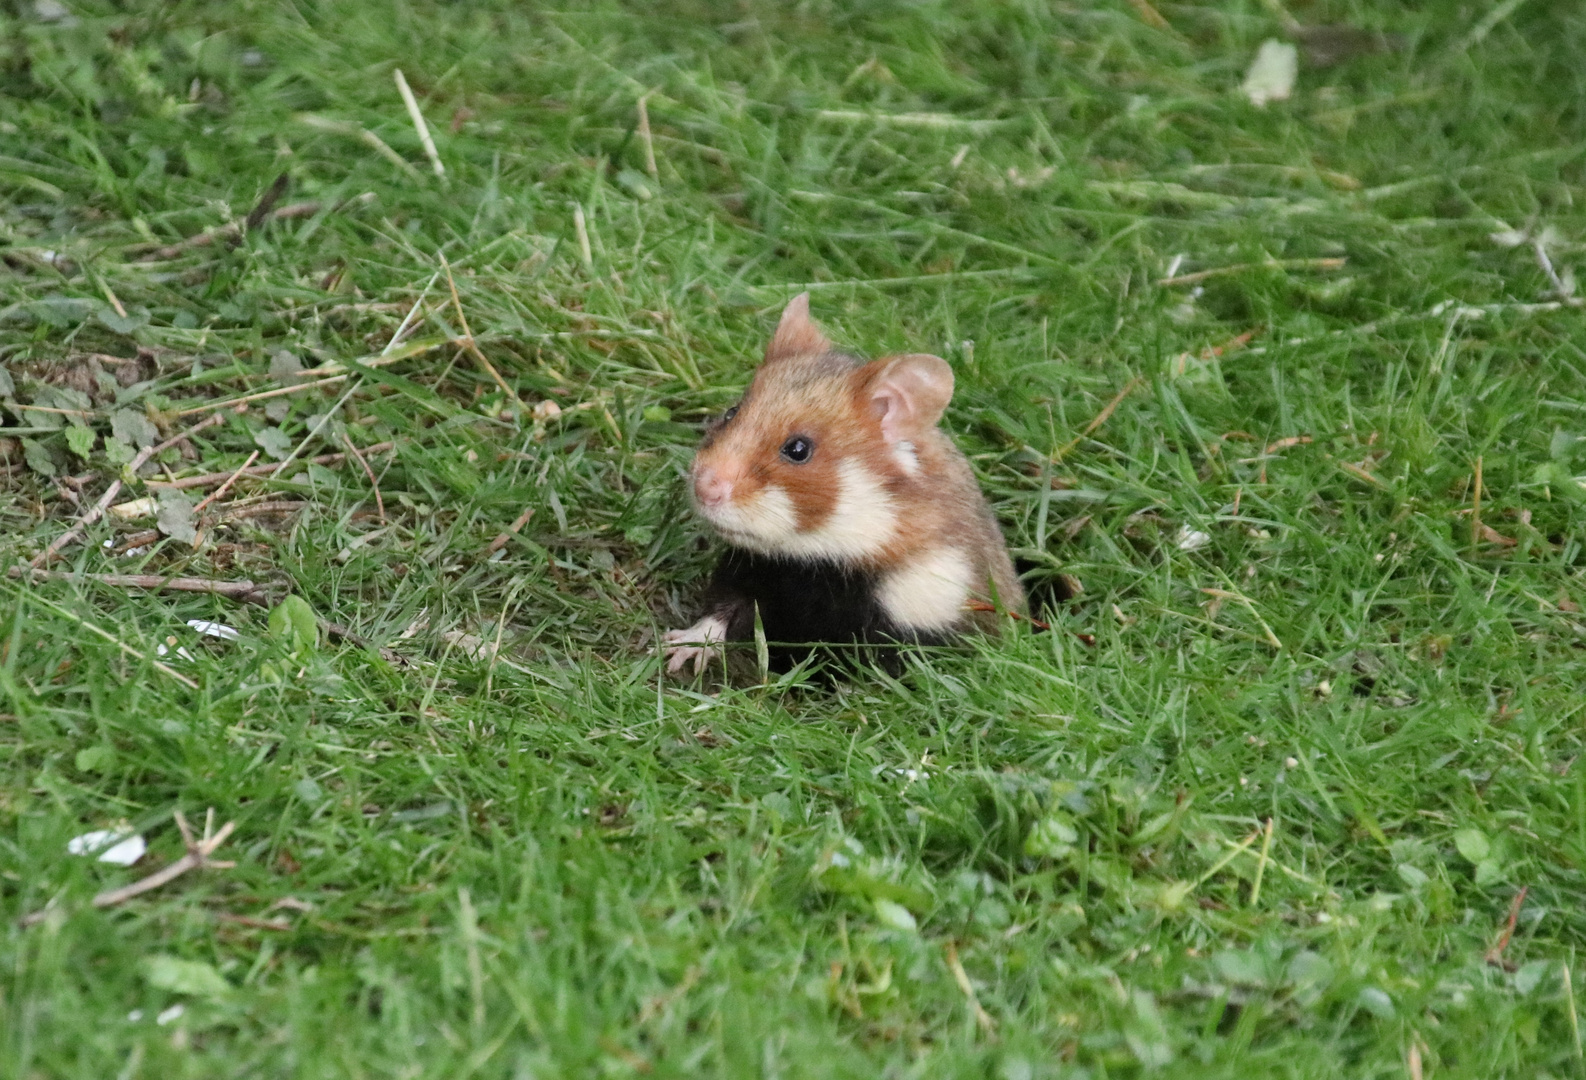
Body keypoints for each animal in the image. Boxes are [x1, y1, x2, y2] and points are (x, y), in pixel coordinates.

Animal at [662, 290, 1021, 669]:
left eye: (798, 449)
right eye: (732, 413)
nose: (704, 490)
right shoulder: (755, 570)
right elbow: (721, 611)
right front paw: (677, 652)